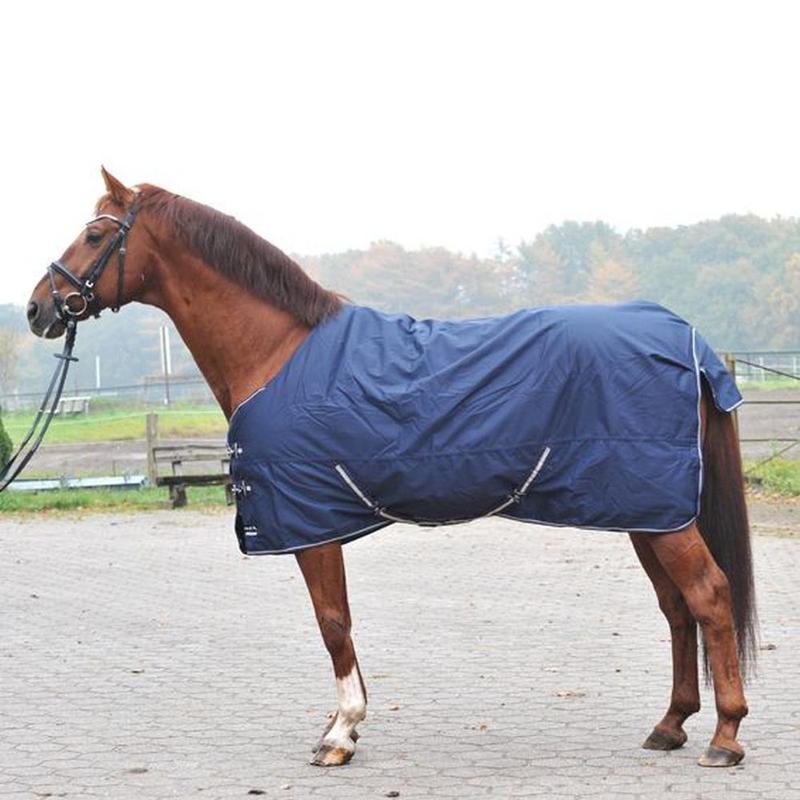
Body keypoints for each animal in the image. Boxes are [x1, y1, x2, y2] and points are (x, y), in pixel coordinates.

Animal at [26, 167, 756, 769]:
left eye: (95, 234)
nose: (38, 307)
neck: (279, 351)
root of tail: (687, 342)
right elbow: (337, 623)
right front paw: (338, 723)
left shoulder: (310, 522)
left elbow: (332, 623)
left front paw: (341, 733)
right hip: (645, 510)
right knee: (675, 607)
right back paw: (670, 725)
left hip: (659, 514)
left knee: (710, 596)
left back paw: (724, 737)